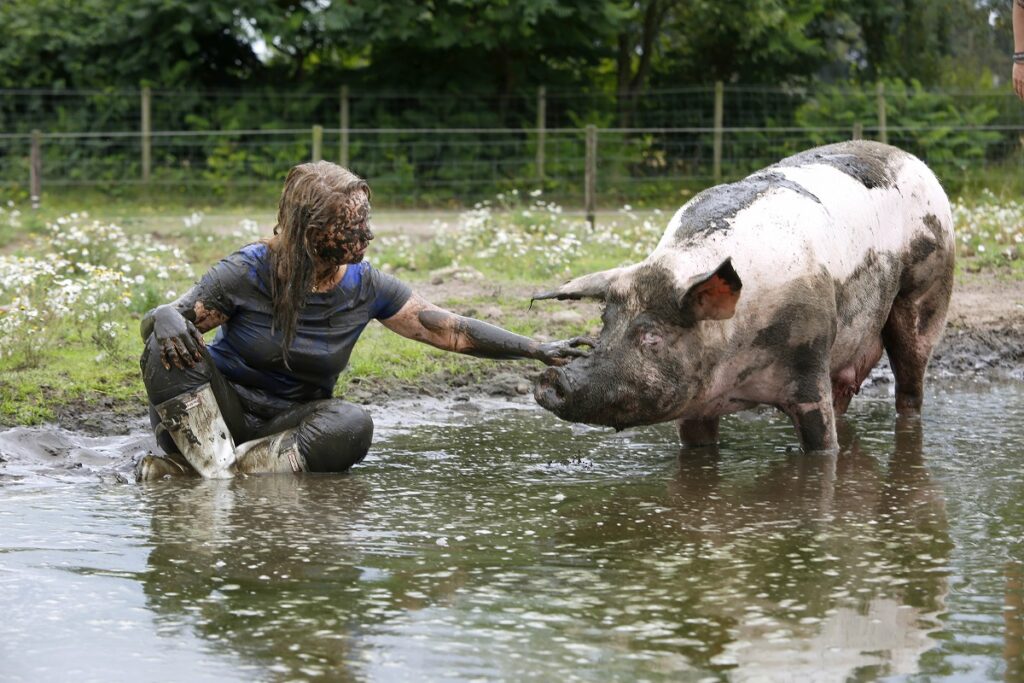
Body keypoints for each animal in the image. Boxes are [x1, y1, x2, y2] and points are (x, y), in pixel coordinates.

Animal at [532, 140, 954, 454]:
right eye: (605, 323)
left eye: (652, 336)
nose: (555, 376)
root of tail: (912, 159)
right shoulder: (697, 406)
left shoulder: (809, 363)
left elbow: (823, 445)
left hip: (927, 292)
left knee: (911, 379)